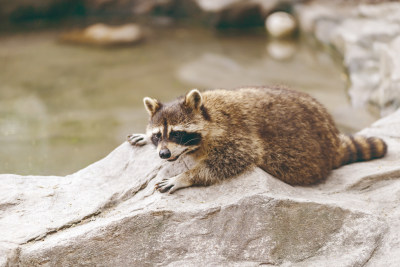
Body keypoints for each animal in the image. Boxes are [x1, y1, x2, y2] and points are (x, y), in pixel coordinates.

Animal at [128, 87, 388, 194]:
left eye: (176, 134)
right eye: (158, 135)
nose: (163, 154)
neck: (208, 112)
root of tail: (333, 139)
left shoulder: (237, 138)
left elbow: (228, 161)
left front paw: (185, 177)